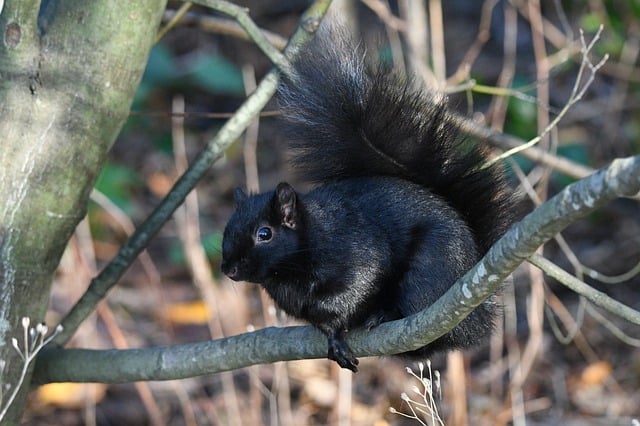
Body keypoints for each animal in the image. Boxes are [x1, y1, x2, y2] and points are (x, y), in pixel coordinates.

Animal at [220, 27, 516, 372]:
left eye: (264, 234)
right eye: (227, 230)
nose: (229, 269)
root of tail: (480, 315)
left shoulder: (357, 251)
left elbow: (357, 286)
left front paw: (343, 321)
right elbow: (321, 319)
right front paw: (333, 335)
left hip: (430, 272)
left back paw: (386, 314)